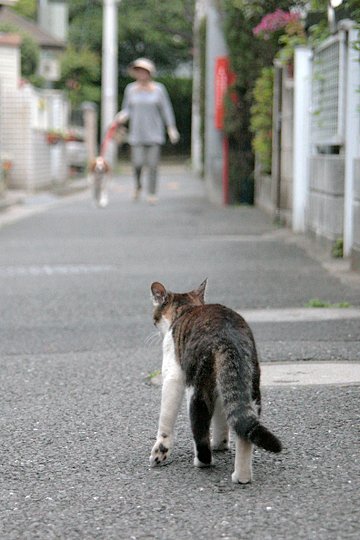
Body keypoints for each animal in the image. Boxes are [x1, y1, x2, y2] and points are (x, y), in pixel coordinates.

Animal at [149, 280, 282, 484]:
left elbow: (166, 418)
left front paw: (160, 451)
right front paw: (220, 444)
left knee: (200, 424)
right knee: (243, 426)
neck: (186, 309)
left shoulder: (173, 375)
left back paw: (202, 461)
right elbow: (222, 418)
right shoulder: (222, 388)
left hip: (198, 387)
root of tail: (228, 337)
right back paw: (241, 476)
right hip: (250, 387)